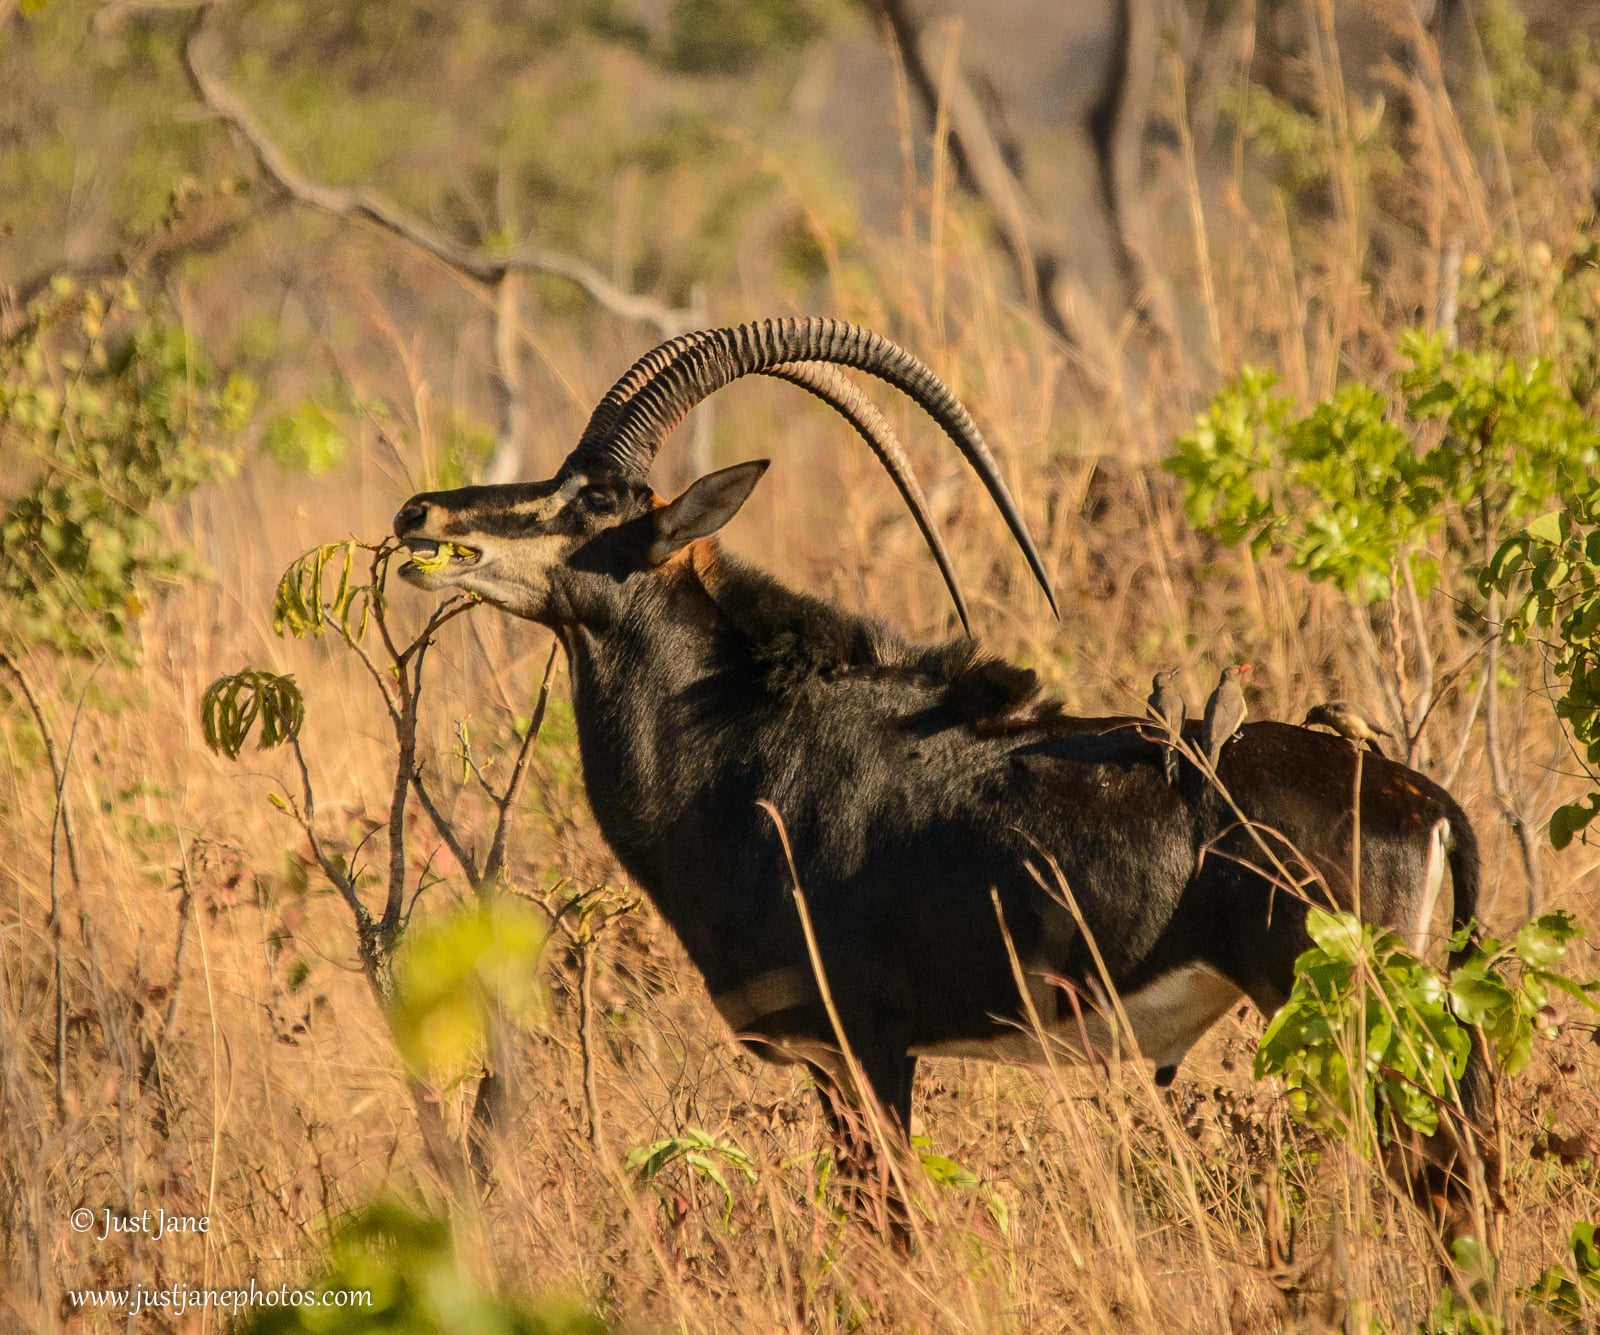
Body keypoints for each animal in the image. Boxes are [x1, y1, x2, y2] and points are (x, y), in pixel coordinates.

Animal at [394, 318, 1492, 1227]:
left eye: (594, 502)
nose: (419, 513)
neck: (742, 736)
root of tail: (1425, 801)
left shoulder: (865, 1050)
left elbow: (891, 1227)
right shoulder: (834, 1065)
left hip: (1351, 1018)